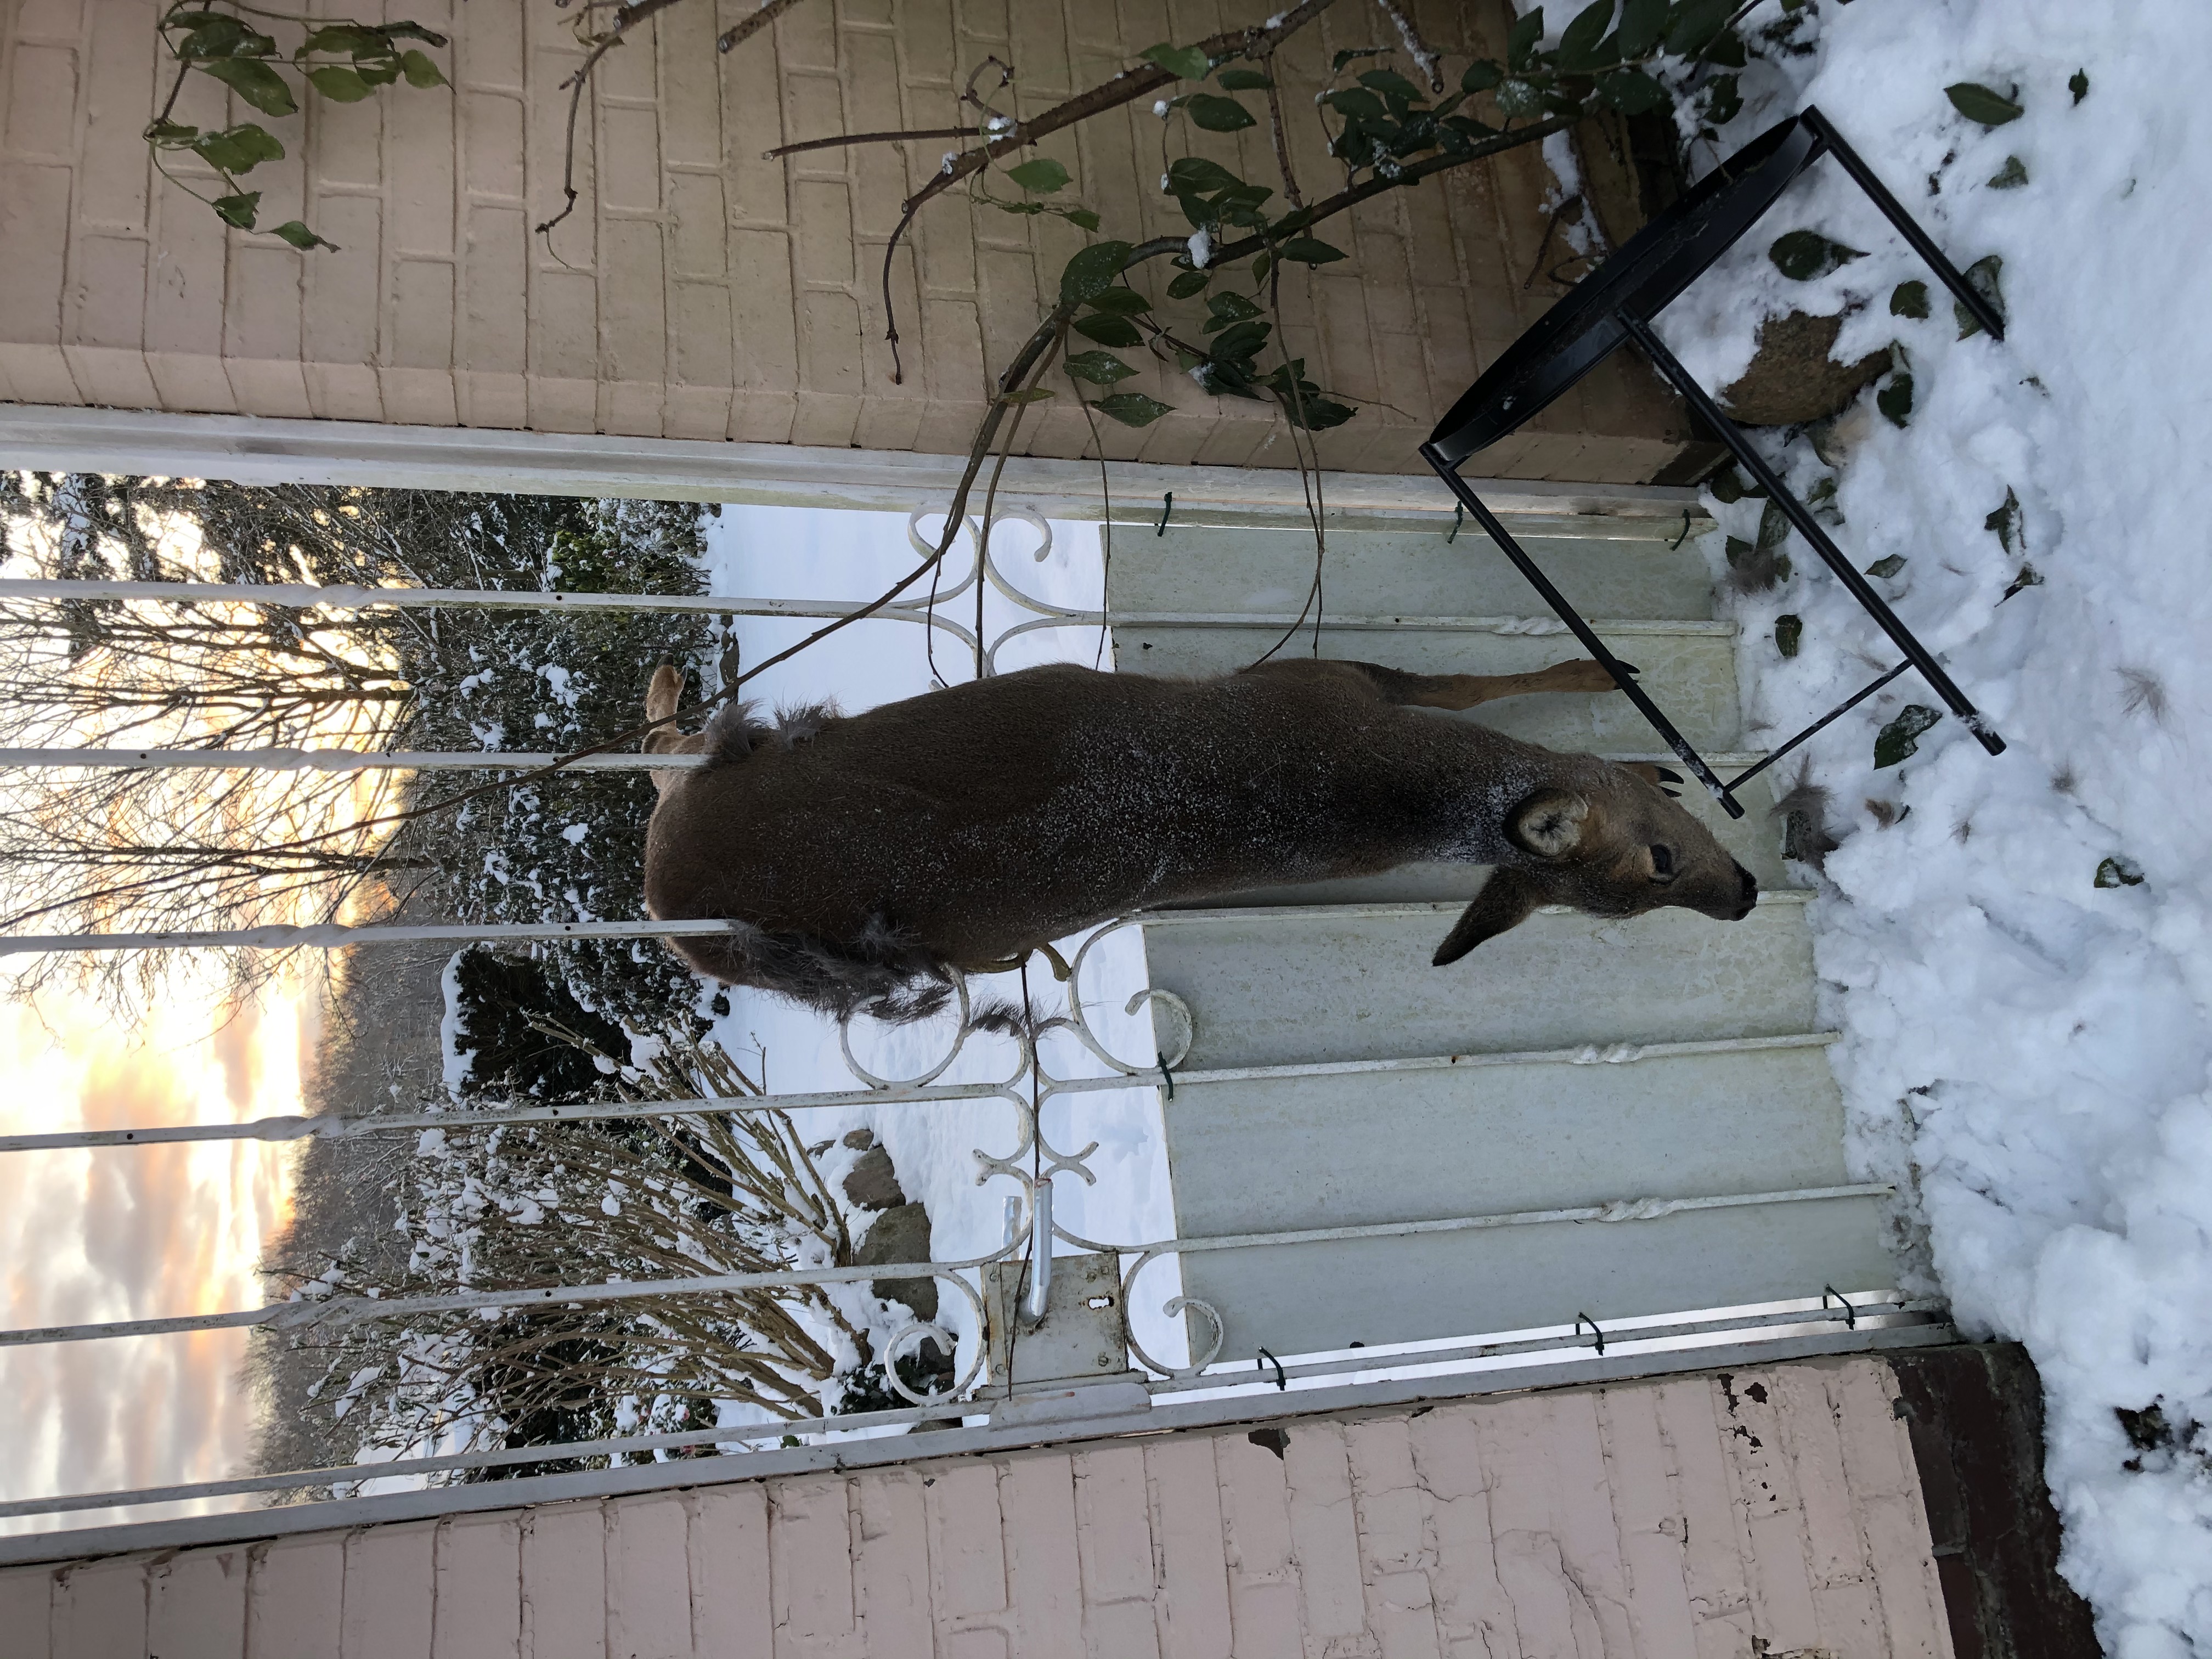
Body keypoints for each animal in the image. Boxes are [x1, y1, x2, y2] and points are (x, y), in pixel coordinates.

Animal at [639, 657, 1759, 1025]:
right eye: (1658, 861)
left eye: (1629, 911)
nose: (1747, 892)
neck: (1386, 795)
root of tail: (673, 911)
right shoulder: (1321, 677)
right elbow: (1472, 682)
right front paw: (1618, 686)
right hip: (715, 780)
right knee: (670, 747)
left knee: (670, 751)